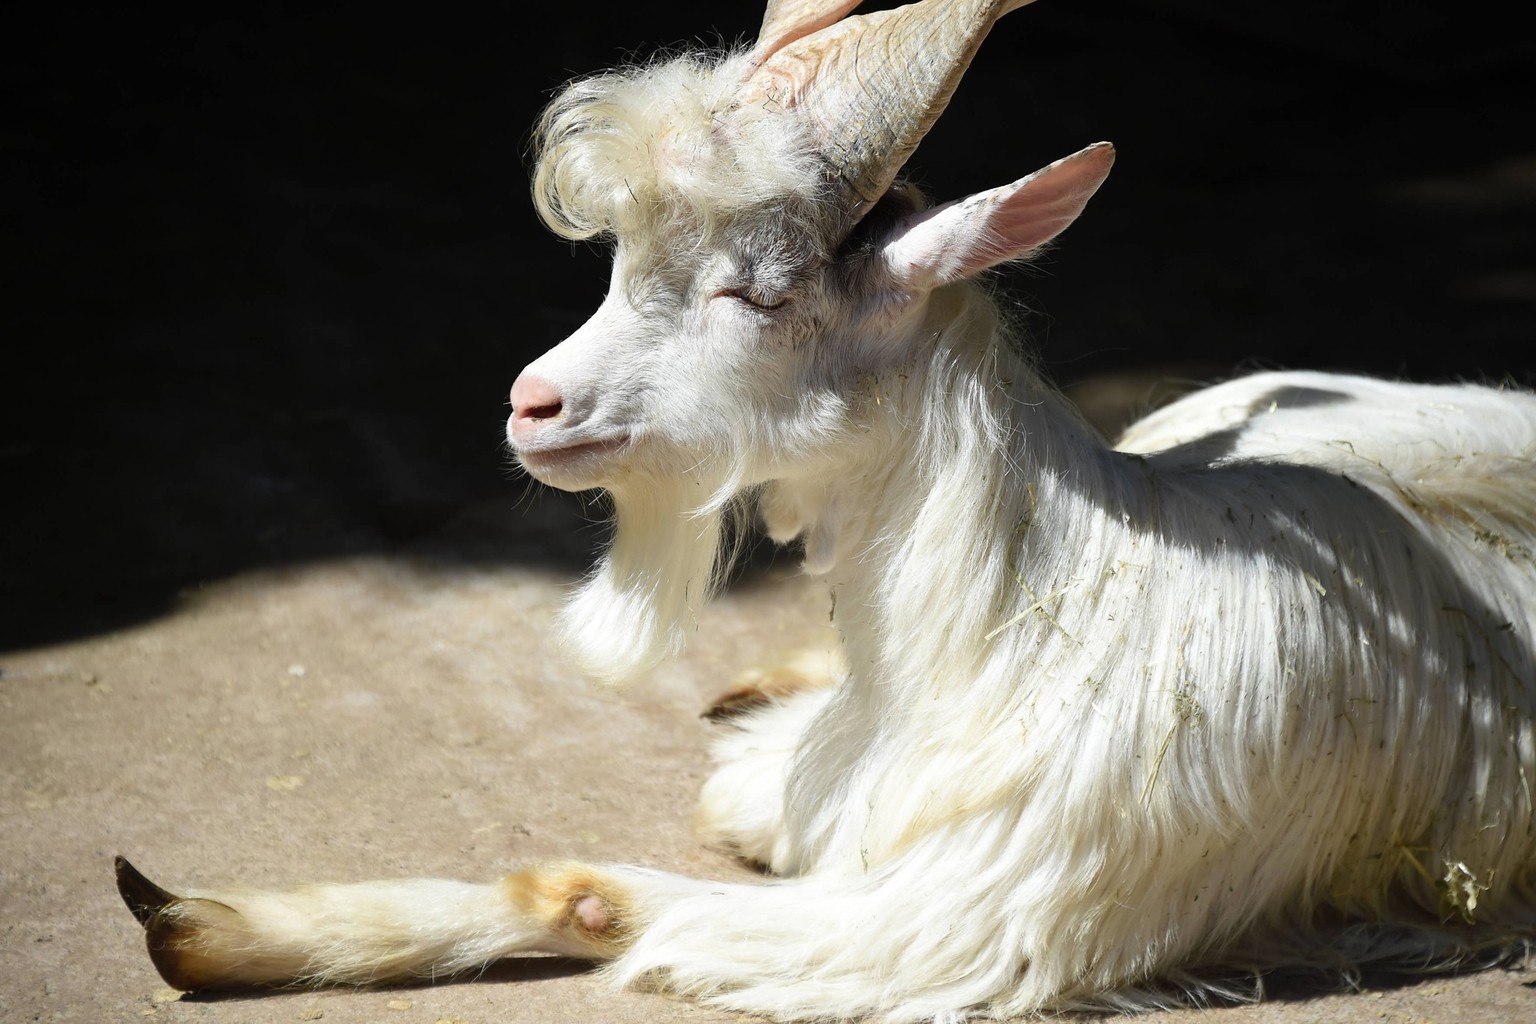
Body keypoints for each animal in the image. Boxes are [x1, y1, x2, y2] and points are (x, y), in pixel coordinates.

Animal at [116, 0, 1536, 1019]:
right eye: (621, 259)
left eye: (758, 294)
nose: (531, 404)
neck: (1025, 612)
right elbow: (715, 814)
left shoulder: (956, 920)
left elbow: (596, 891)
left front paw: (217, 927)